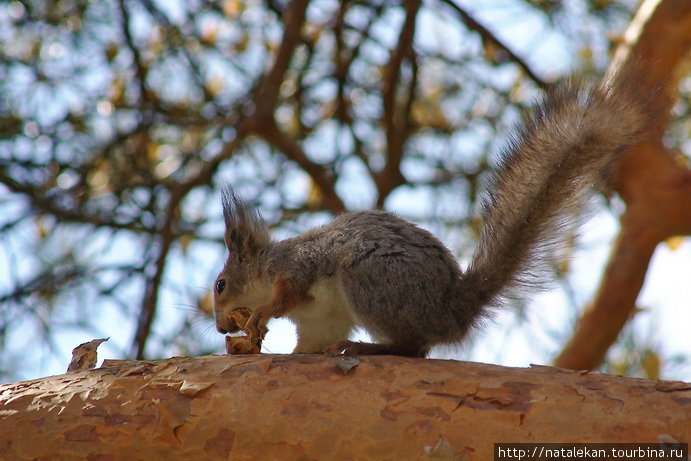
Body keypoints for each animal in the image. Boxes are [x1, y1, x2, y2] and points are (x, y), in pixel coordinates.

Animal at [215, 67, 660, 356]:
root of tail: (451, 312)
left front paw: (260, 315)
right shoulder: (317, 321)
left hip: (370, 281)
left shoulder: (298, 267)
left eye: (220, 285)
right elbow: (308, 346)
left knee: (413, 348)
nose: (221, 327)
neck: (267, 265)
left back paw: (367, 348)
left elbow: (287, 293)